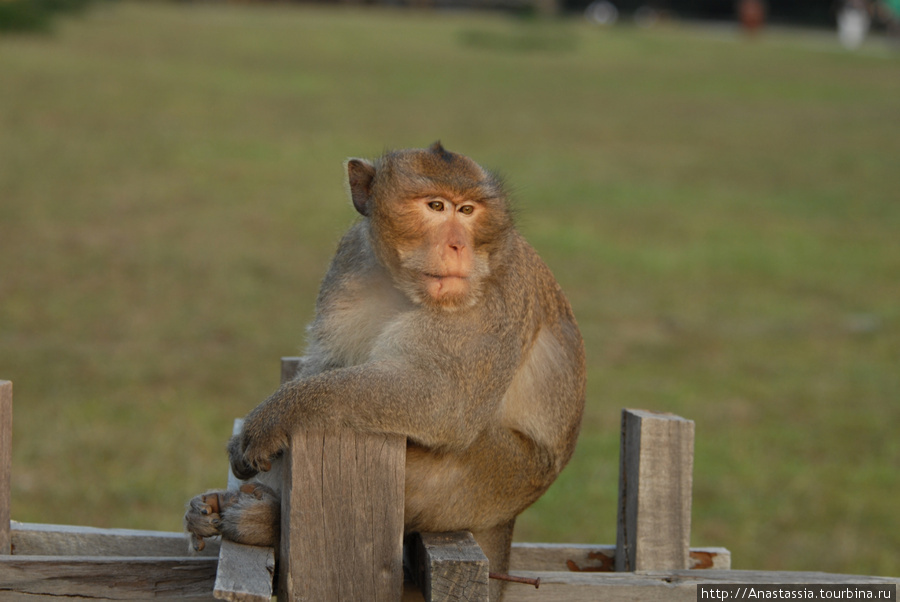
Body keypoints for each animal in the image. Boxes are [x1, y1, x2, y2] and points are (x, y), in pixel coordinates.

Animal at [186, 142, 588, 600]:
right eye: (436, 206)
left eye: (467, 210)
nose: (458, 246)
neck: (404, 285)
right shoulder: (351, 256)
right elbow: (330, 362)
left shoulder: (491, 298)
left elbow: (443, 402)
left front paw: (274, 416)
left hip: (494, 478)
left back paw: (263, 523)